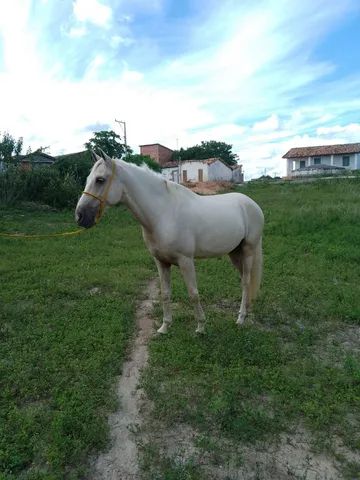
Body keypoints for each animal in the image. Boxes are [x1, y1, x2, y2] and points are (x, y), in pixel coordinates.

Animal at [74, 150, 262, 334]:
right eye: (88, 179)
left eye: (100, 180)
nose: (80, 216)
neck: (163, 213)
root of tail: (252, 204)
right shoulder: (161, 262)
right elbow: (165, 293)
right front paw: (164, 327)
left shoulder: (186, 261)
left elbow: (193, 293)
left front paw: (201, 327)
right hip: (235, 253)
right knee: (244, 280)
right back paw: (245, 312)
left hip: (248, 250)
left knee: (246, 282)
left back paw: (241, 319)